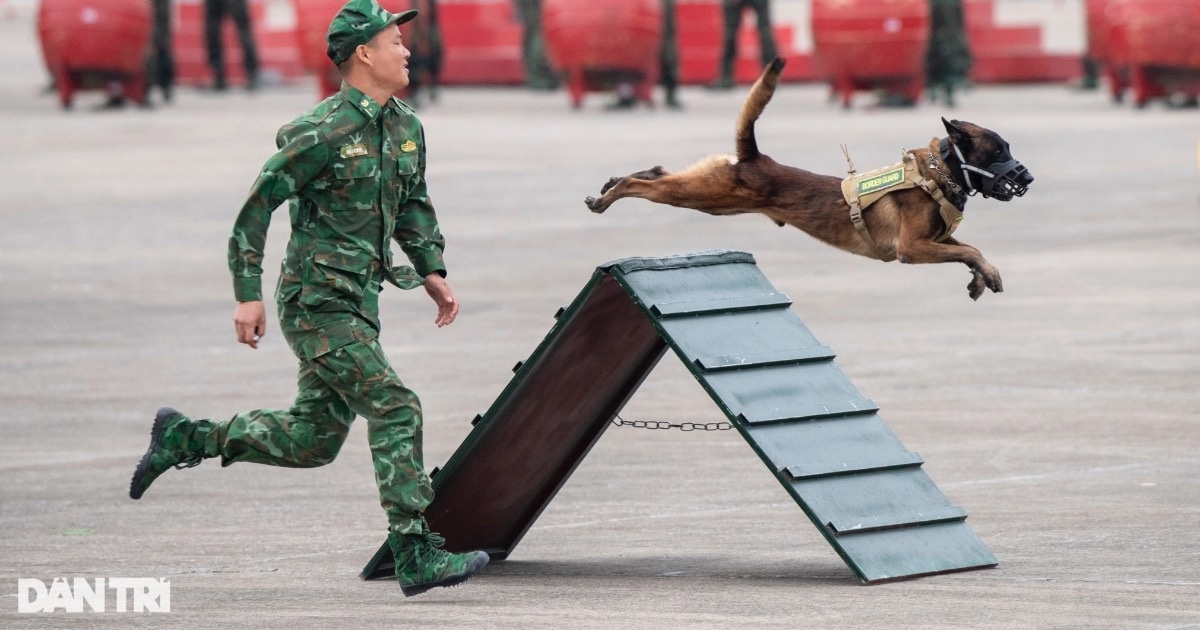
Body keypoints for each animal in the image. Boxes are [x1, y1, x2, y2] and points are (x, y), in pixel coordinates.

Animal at [585, 58, 1036, 300]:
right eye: (999, 151)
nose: (1027, 177)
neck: (937, 174)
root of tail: (754, 156)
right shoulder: (913, 248)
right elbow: (971, 249)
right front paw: (986, 275)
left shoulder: (936, 241)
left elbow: (971, 249)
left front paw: (981, 278)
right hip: (707, 196)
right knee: (645, 186)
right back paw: (608, 196)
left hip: (711, 197)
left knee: (658, 172)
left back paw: (615, 181)